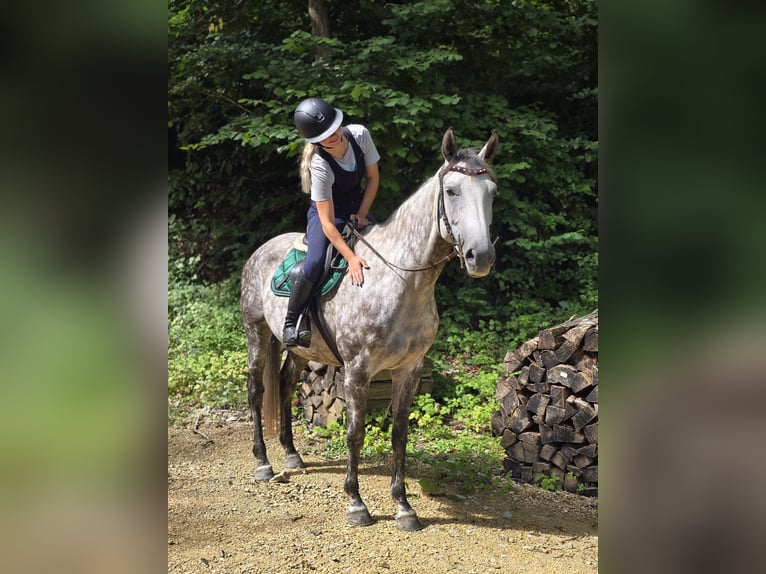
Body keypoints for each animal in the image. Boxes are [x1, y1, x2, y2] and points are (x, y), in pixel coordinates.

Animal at [240, 127, 499, 531]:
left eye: (492, 192)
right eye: (452, 190)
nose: (480, 256)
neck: (401, 280)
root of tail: (261, 250)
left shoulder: (408, 370)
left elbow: (399, 433)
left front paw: (404, 506)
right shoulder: (357, 371)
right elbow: (355, 432)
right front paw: (356, 503)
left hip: (300, 348)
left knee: (285, 383)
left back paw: (292, 454)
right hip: (256, 333)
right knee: (256, 390)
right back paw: (264, 462)